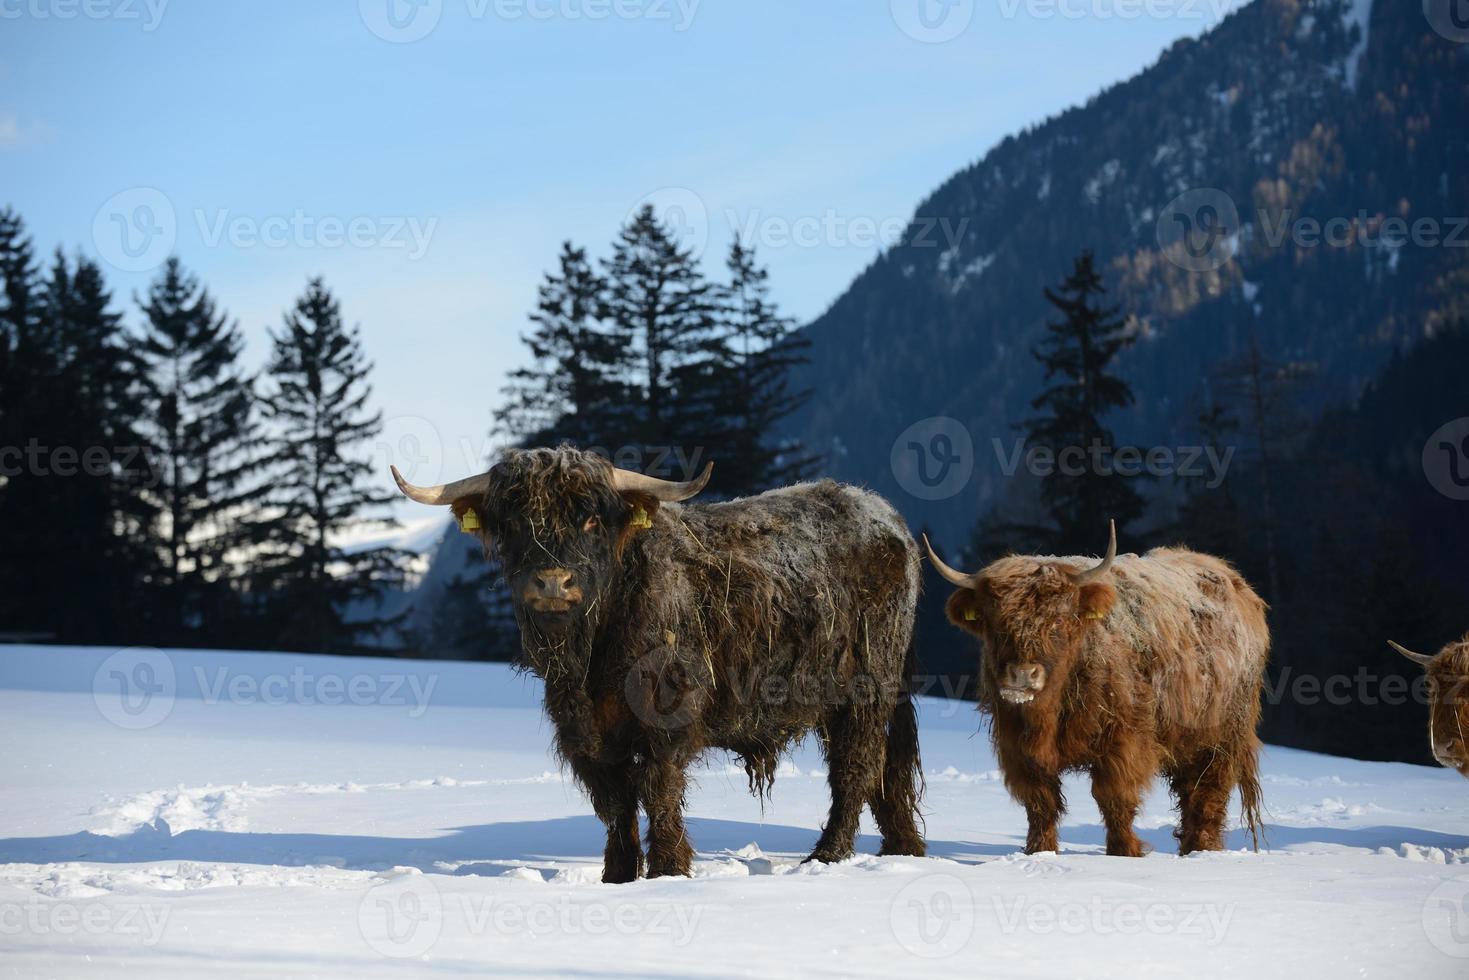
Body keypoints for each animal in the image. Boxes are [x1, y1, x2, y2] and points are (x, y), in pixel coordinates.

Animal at [390, 449, 916, 887]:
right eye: (517, 522)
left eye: (591, 520)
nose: (553, 583)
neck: (593, 655)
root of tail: (884, 514)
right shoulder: (584, 733)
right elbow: (615, 804)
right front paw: (618, 876)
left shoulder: (667, 718)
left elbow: (658, 790)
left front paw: (667, 871)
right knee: (884, 767)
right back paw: (903, 848)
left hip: (867, 685)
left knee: (856, 765)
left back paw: (828, 856)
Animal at [922, 520, 1269, 858]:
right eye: (995, 624)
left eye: (1057, 621)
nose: (1023, 674)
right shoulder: (1018, 747)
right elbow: (1040, 801)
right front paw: (1040, 852)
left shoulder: (1124, 741)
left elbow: (1114, 797)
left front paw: (1124, 852)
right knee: (1191, 792)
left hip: (1222, 736)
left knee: (1208, 792)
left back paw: (1203, 849)